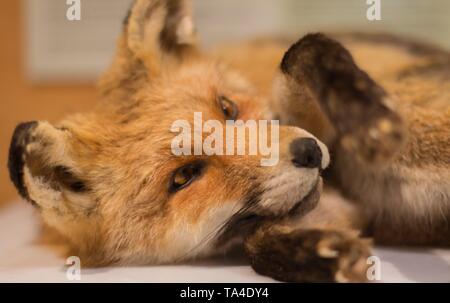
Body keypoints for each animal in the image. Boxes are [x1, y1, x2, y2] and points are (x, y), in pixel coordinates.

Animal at [7, 0, 450, 284]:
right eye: (184, 177)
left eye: (228, 107)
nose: (309, 152)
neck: (347, 187)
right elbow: (256, 245)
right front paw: (321, 254)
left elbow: (302, 49)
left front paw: (367, 114)